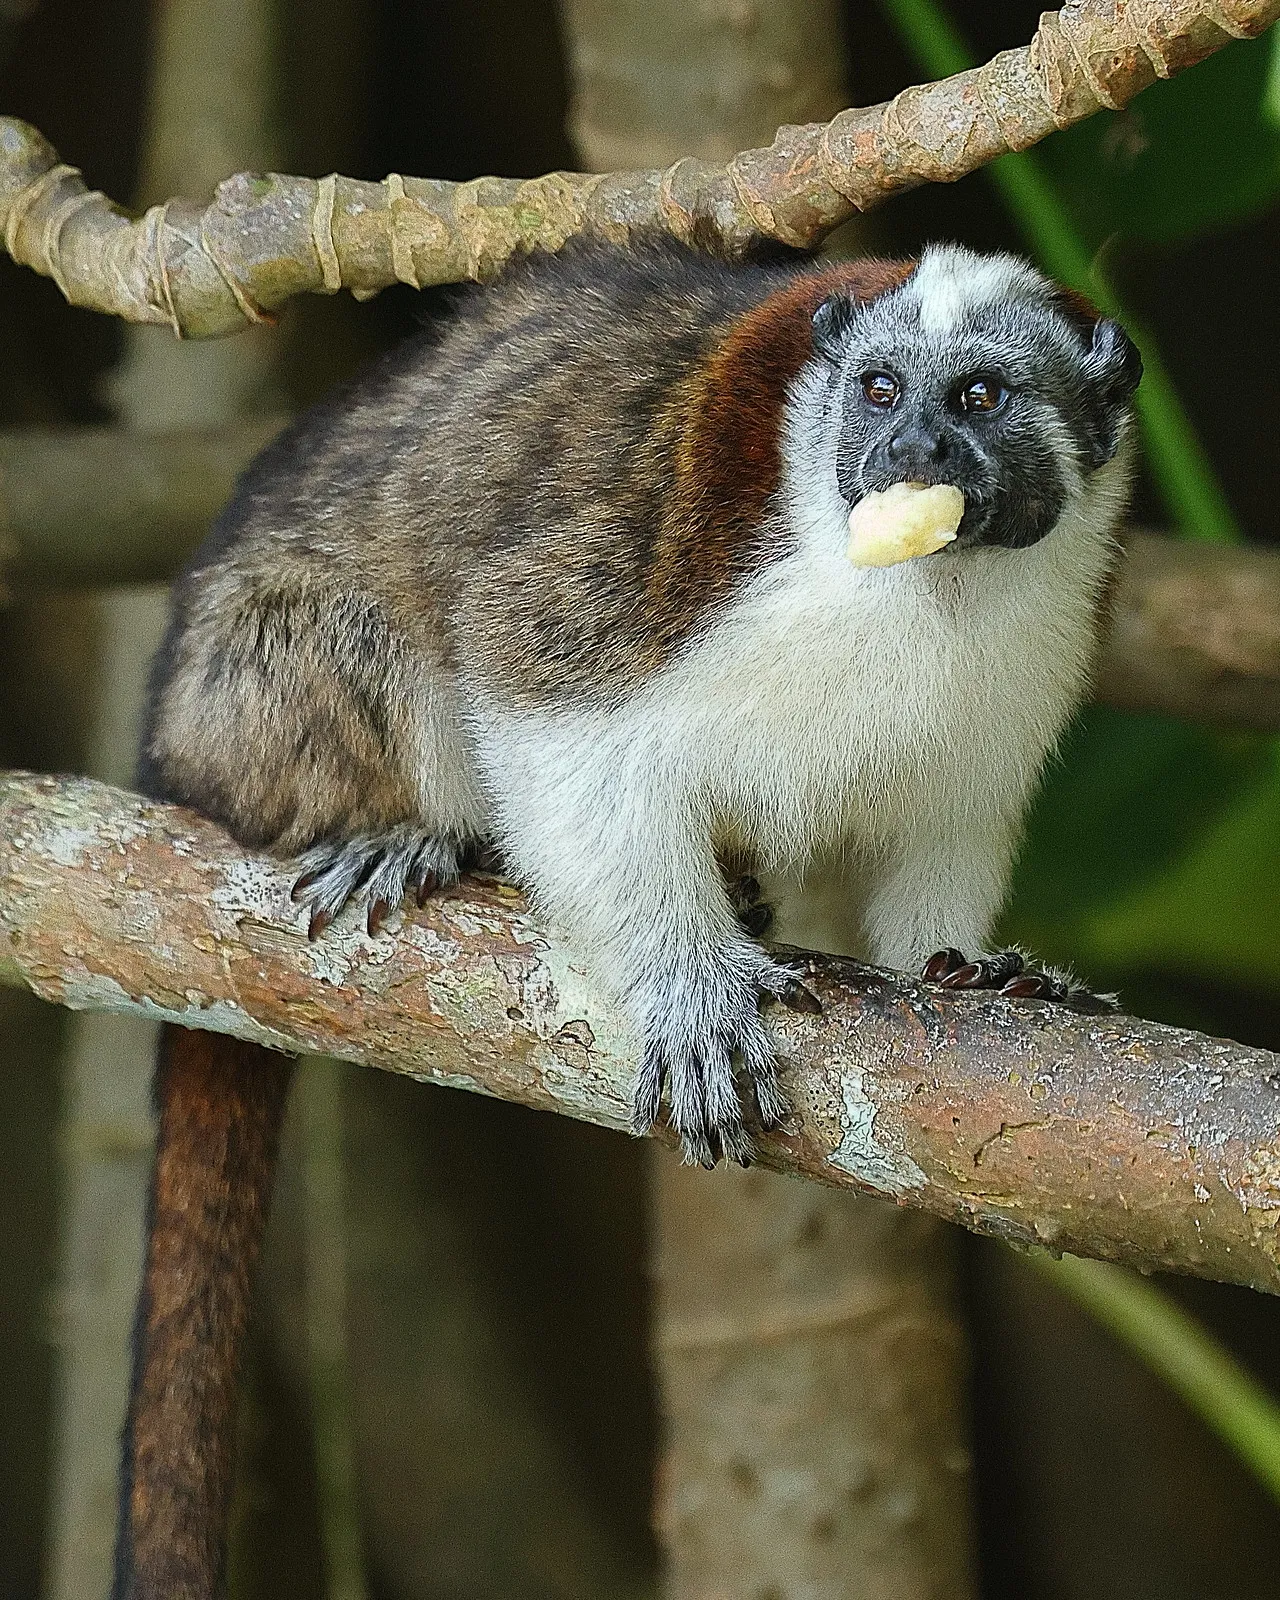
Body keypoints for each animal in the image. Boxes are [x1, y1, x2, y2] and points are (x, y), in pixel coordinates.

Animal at [113, 236, 1141, 1598]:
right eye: (879, 390)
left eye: (976, 397)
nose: (908, 448)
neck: (934, 590)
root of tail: (173, 753)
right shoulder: (671, 567)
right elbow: (532, 677)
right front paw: (689, 988)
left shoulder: (1039, 647)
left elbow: (946, 824)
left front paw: (972, 969)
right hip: (243, 701)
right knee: (372, 633)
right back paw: (418, 834)